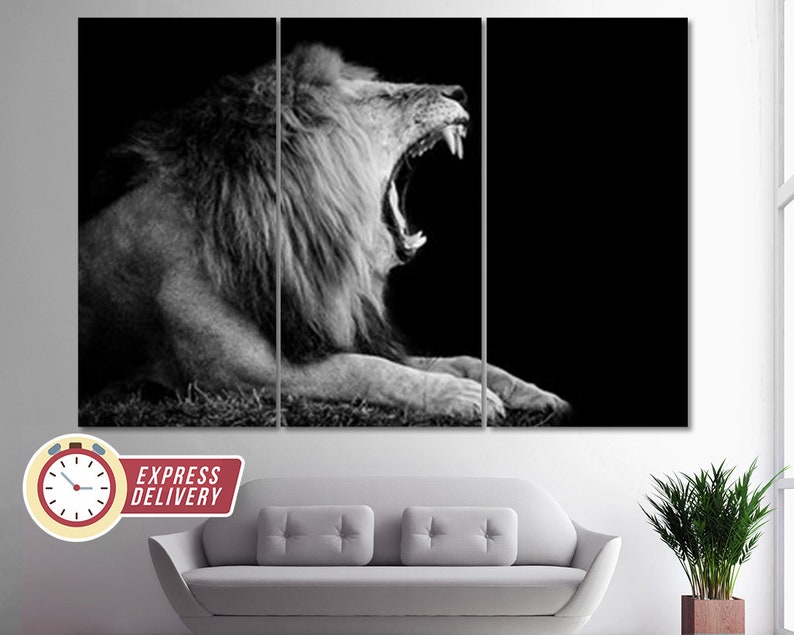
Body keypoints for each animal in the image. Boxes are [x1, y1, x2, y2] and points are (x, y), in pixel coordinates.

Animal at [79, 44, 569, 422]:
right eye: (383, 96)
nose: (460, 91)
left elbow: (462, 359)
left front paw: (530, 391)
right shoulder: (235, 373)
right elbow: (365, 369)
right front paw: (457, 396)